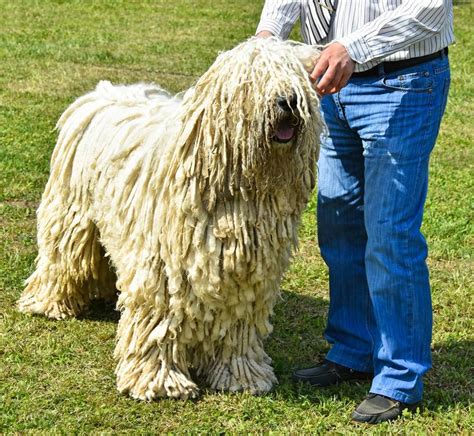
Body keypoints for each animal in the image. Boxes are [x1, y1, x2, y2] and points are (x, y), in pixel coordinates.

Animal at [17, 38, 322, 402]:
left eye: (298, 77)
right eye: (252, 81)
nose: (287, 101)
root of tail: (101, 92)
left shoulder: (248, 276)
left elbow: (239, 324)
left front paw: (242, 375)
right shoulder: (162, 268)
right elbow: (157, 319)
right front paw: (159, 381)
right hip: (71, 212)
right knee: (61, 258)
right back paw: (48, 303)